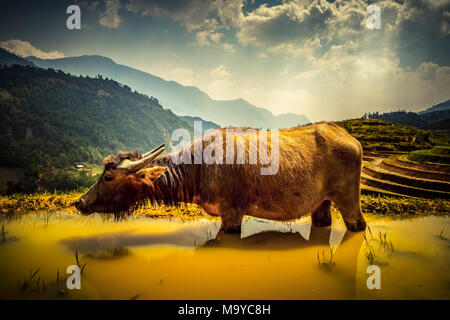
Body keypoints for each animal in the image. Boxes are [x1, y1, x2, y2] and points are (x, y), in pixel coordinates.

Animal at [75, 122, 366, 232]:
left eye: (108, 177)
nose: (80, 202)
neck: (200, 167)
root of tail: (351, 139)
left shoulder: (232, 213)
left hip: (349, 201)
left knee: (358, 225)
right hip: (321, 205)